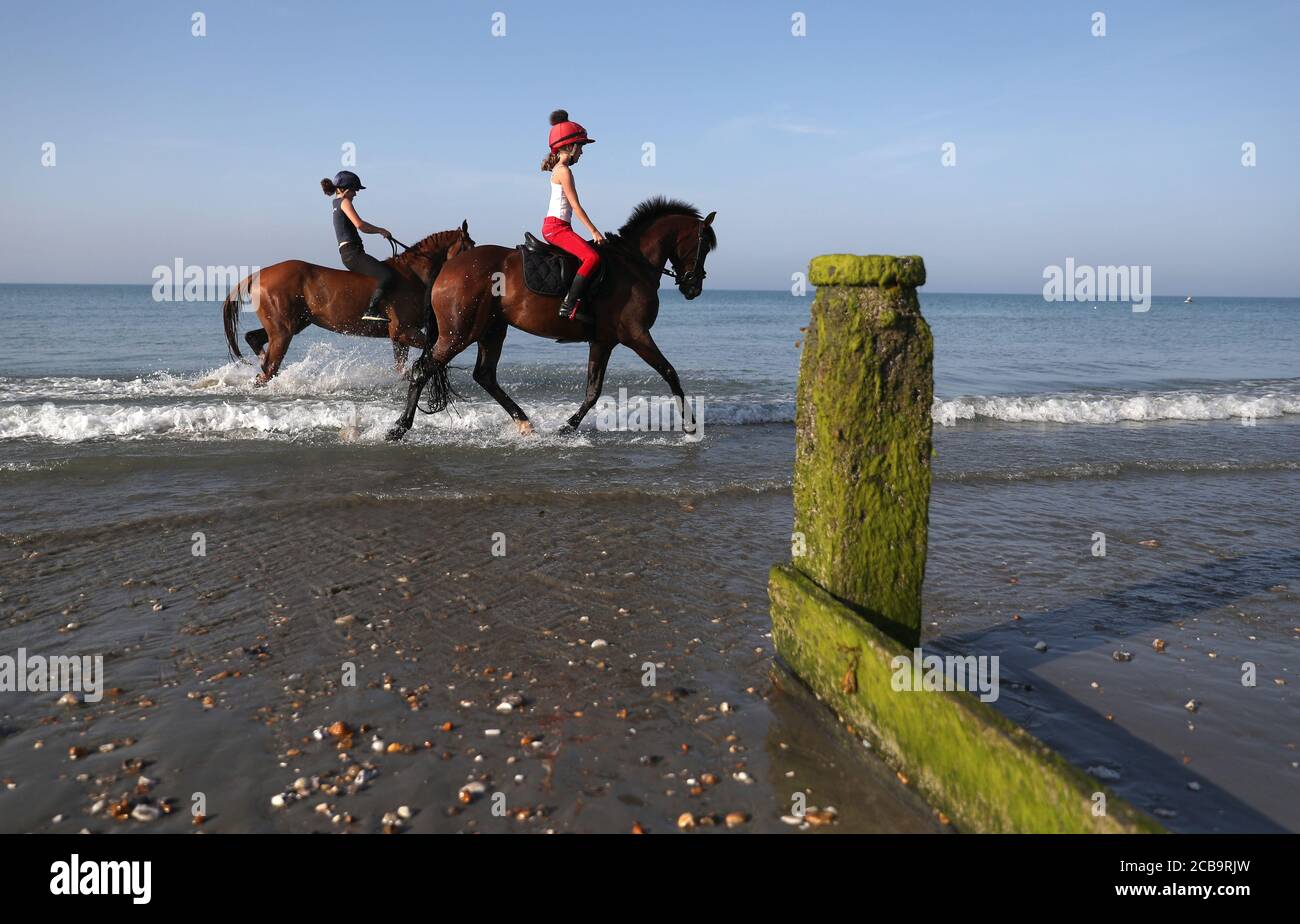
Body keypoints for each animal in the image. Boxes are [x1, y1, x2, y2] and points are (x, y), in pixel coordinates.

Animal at [224, 220, 478, 382]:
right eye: (471, 246)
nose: (473, 272)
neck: (413, 274)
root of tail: (259, 274)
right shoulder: (404, 331)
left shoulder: (399, 337)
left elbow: (401, 369)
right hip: (283, 332)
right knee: (268, 370)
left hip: (291, 325)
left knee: (254, 340)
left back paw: (260, 359)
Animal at [379, 197, 717, 441]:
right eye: (702, 247)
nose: (693, 287)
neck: (633, 265)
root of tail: (448, 268)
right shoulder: (636, 334)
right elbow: (670, 373)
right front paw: (690, 425)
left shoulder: (603, 341)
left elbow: (593, 390)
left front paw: (568, 427)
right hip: (459, 334)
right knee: (423, 370)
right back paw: (398, 428)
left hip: (491, 330)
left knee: (484, 375)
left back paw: (525, 423)